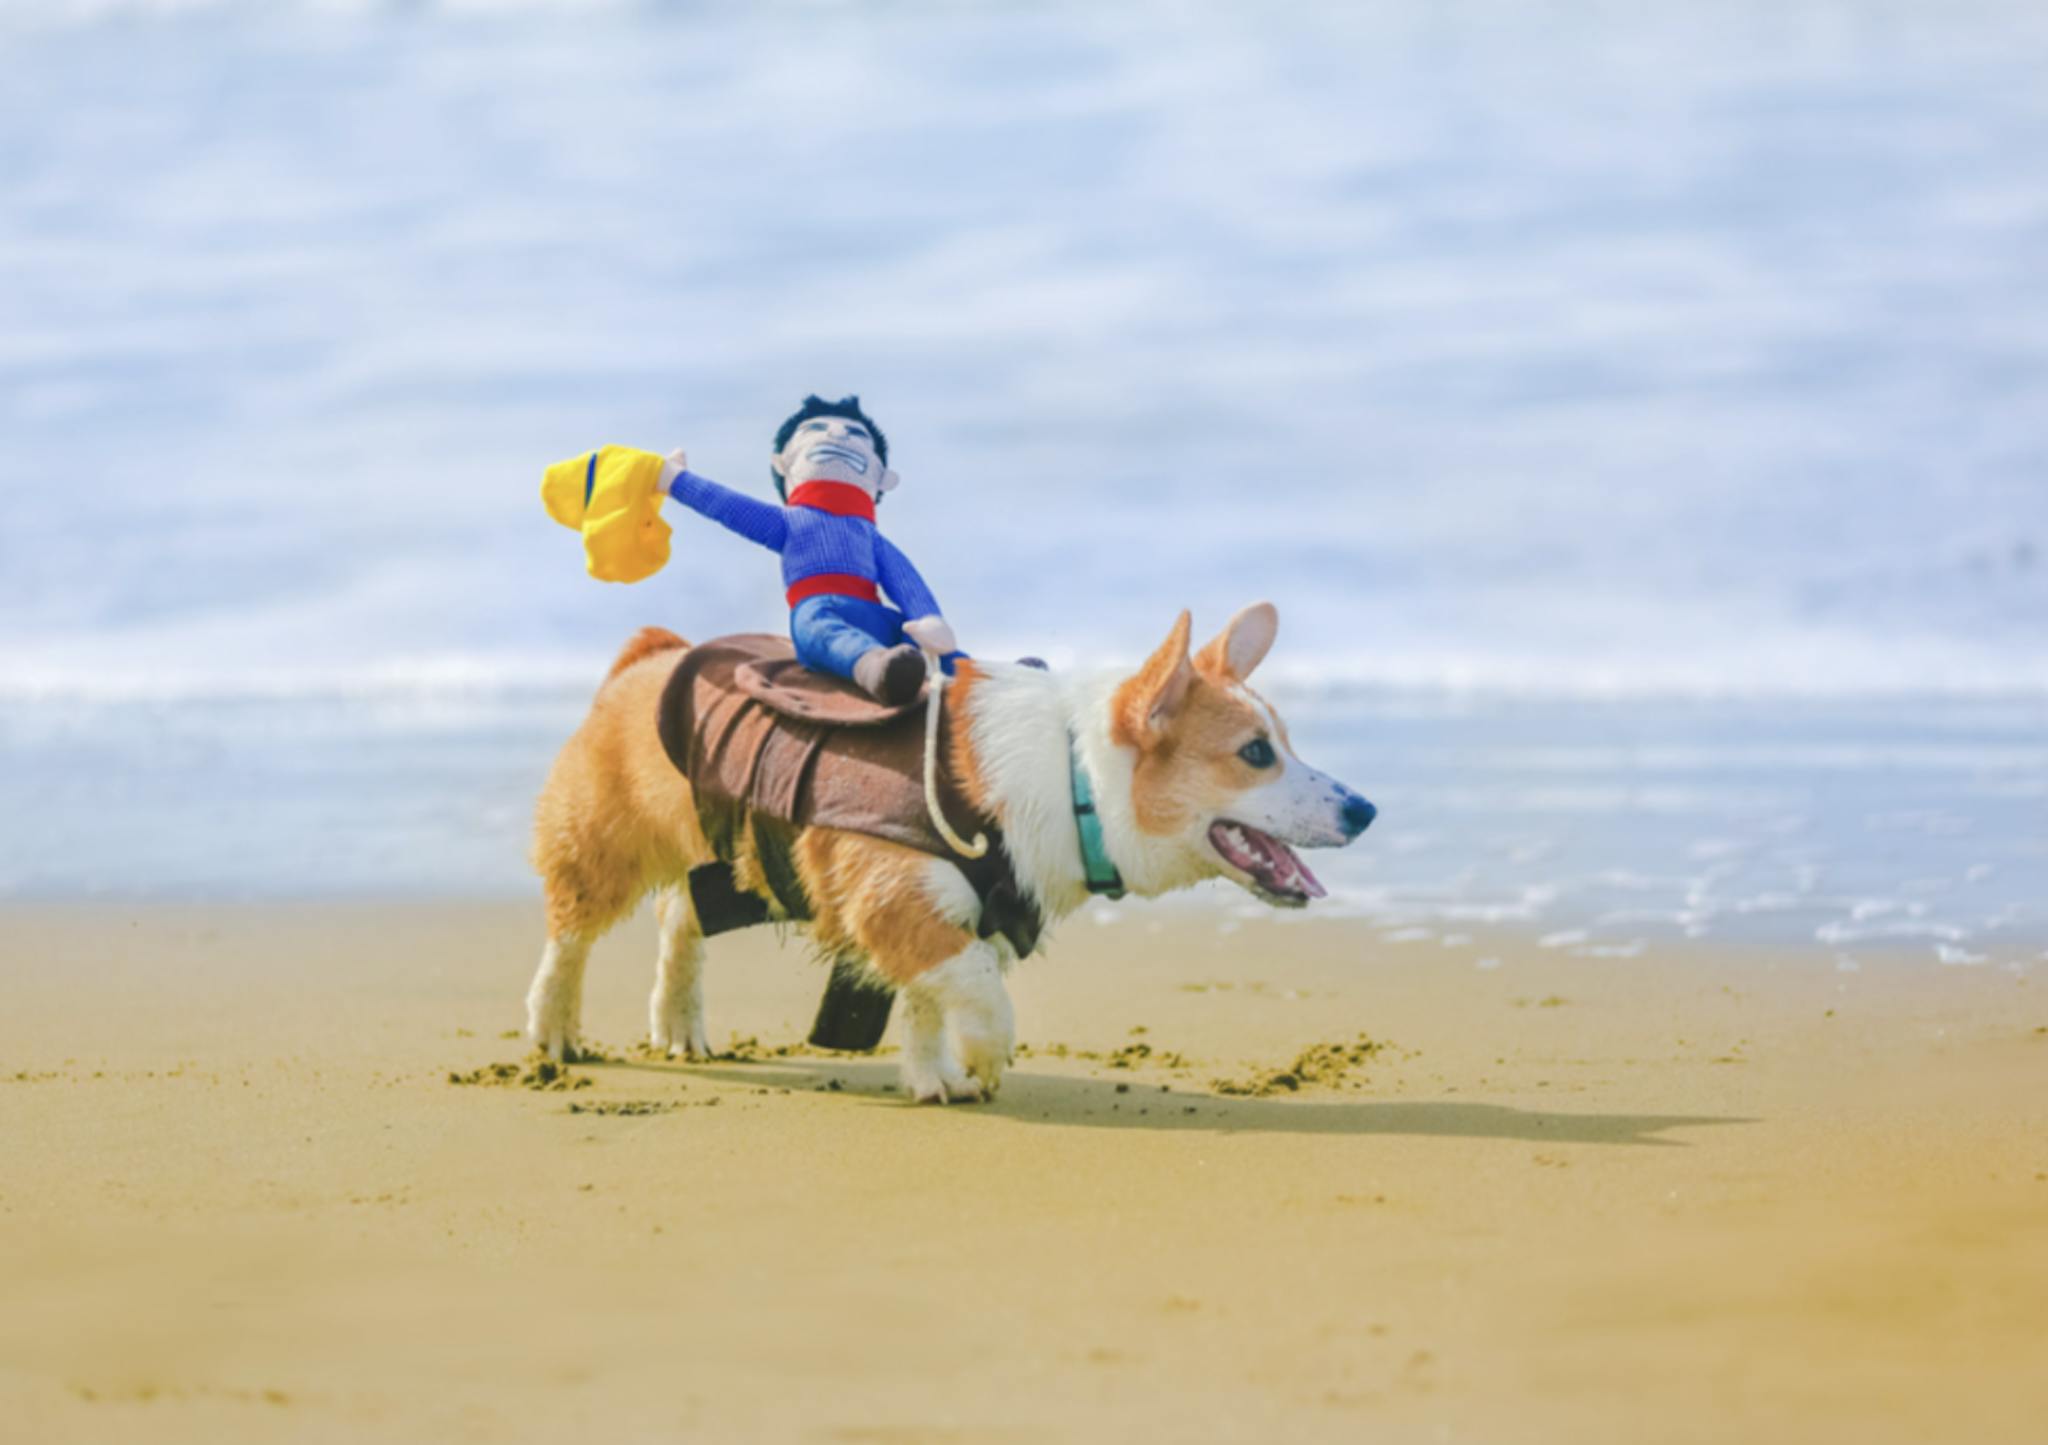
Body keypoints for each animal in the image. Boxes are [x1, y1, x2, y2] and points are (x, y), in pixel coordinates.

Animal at [524, 601, 1376, 1097]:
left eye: (1282, 742)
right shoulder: (900, 901)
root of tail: (652, 654)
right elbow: (980, 992)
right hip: (601, 847)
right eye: (1256, 753)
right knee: (570, 935)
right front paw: (983, 1061)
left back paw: (678, 1024)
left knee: (682, 914)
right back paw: (554, 1033)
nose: (1366, 808)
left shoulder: (956, 917)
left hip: (736, 861)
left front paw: (932, 1076)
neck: (1075, 775)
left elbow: (932, 998)